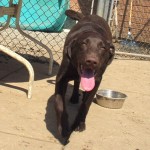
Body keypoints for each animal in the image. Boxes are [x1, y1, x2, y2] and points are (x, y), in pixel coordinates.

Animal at [54, 9, 115, 138]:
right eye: (83, 44)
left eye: (103, 47)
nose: (91, 61)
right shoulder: (61, 78)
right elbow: (59, 104)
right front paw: (63, 126)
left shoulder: (96, 81)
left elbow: (86, 105)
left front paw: (79, 124)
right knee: (77, 82)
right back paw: (74, 97)